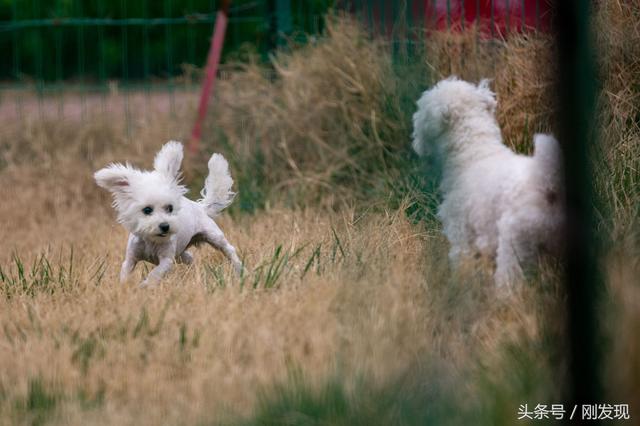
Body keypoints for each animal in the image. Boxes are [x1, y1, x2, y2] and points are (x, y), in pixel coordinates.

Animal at [95, 142, 242, 286]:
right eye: (147, 210)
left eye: (170, 208)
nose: (165, 226)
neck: (152, 240)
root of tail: (201, 207)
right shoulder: (131, 258)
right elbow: (125, 273)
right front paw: (124, 287)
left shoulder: (166, 260)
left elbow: (154, 274)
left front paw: (144, 286)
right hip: (181, 253)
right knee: (190, 257)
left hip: (213, 236)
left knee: (229, 249)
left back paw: (240, 270)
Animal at [410, 78, 564, 288]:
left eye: (420, 112)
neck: (475, 153)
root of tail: (548, 184)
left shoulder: (461, 235)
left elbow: (461, 265)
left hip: (514, 242)